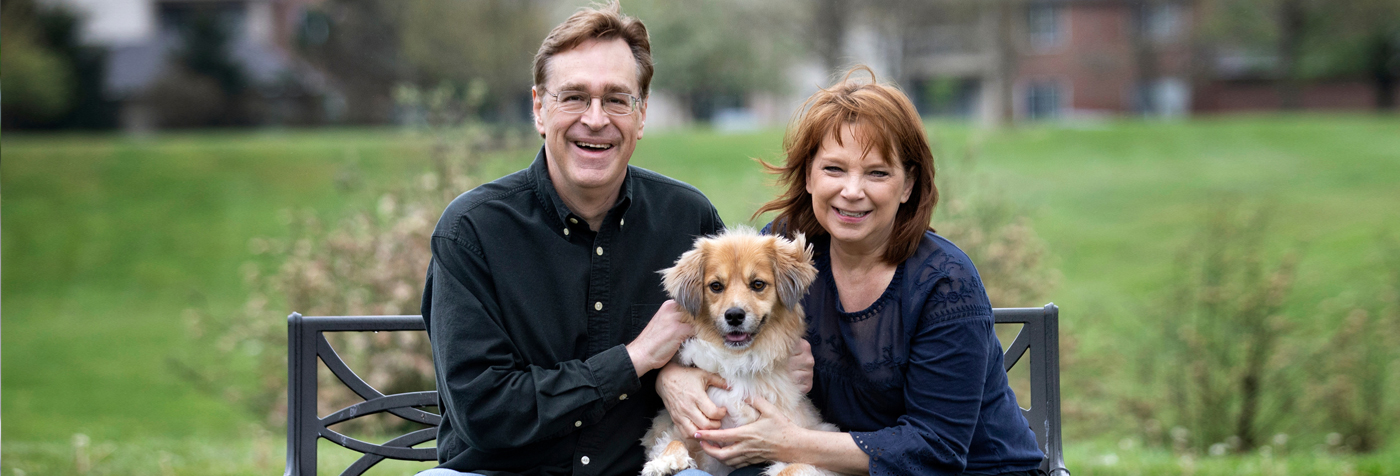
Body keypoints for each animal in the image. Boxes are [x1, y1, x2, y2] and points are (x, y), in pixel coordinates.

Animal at [641, 226, 834, 476]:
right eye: (716, 286)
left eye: (758, 284)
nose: (734, 316)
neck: (737, 361)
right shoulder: (693, 433)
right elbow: (673, 441)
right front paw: (664, 462)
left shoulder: (802, 439)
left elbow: (790, 469)